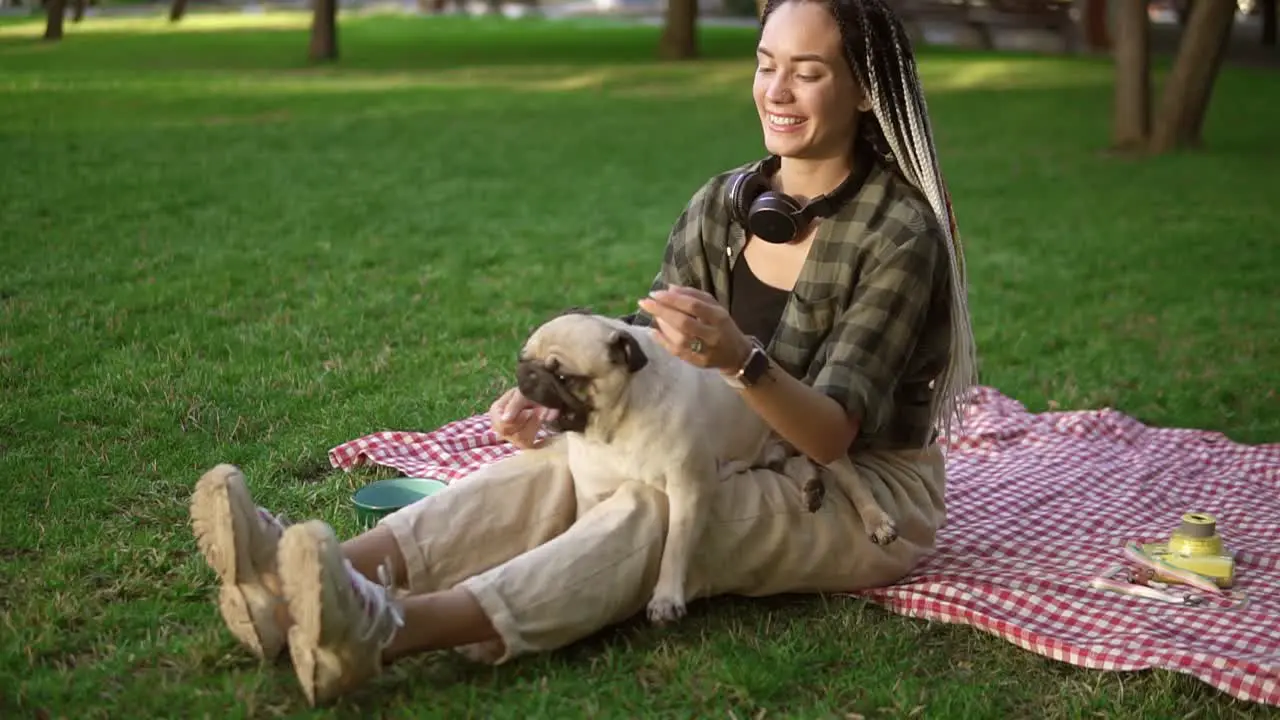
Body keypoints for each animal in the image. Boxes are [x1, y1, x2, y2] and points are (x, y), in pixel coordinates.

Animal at [514, 308, 896, 622]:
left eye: (564, 376)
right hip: (773, 453)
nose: (526, 374)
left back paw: (877, 521)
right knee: (798, 465)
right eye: (523, 358)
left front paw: (666, 599)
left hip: (816, 440)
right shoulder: (592, 492)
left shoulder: (688, 489)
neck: (616, 425)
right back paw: (811, 488)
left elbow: (675, 545)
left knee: (851, 480)